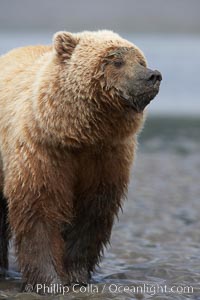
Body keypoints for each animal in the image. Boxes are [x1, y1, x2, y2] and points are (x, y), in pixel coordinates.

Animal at [0, 30, 162, 290]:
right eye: (116, 61)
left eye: (140, 60)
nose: (153, 75)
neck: (79, 135)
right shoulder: (43, 151)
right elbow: (40, 209)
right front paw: (48, 281)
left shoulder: (106, 158)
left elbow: (91, 213)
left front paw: (76, 276)